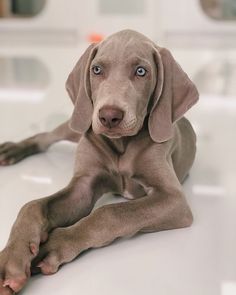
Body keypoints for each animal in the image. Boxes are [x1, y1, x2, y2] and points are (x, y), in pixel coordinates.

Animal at [0, 29, 198, 294]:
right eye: (96, 69)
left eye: (141, 71)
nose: (109, 116)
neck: (121, 145)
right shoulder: (83, 186)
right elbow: (32, 205)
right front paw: (12, 259)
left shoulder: (173, 199)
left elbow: (109, 213)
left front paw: (54, 244)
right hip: (79, 121)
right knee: (47, 136)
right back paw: (14, 149)